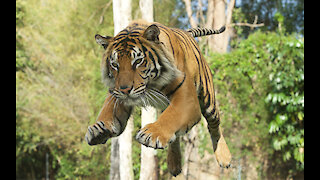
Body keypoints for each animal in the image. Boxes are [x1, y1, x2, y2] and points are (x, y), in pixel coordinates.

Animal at [84, 19, 230, 176]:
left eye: (138, 61)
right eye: (114, 65)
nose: (125, 89)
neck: (152, 84)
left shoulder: (188, 99)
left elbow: (171, 116)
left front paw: (152, 133)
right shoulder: (115, 93)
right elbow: (108, 111)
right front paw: (99, 129)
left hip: (208, 99)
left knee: (214, 125)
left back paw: (224, 158)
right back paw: (174, 164)